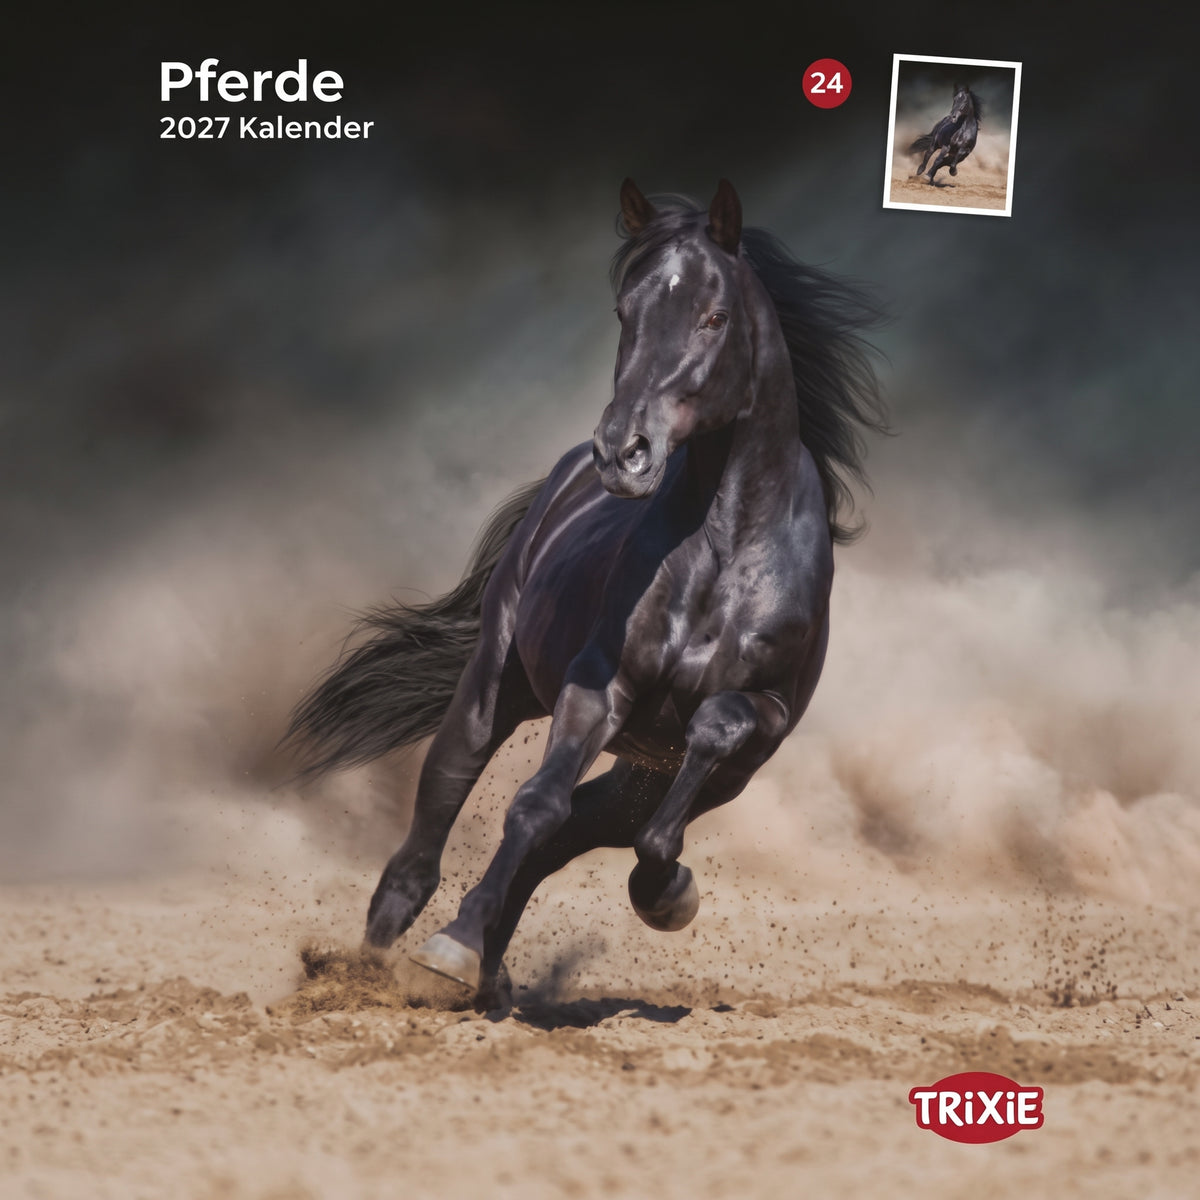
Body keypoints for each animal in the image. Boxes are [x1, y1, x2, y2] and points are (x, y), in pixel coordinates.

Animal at [286, 179, 887, 1010]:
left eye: (714, 317)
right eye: (626, 312)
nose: (623, 451)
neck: (728, 549)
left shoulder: (758, 726)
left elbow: (696, 759)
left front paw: (667, 894)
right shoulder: (600, 688)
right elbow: (534, 804)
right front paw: (450, 947)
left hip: (659, 775)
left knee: (578, 832)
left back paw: (495, 974)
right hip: (492, 690)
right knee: (433, 831)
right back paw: (376, 970)